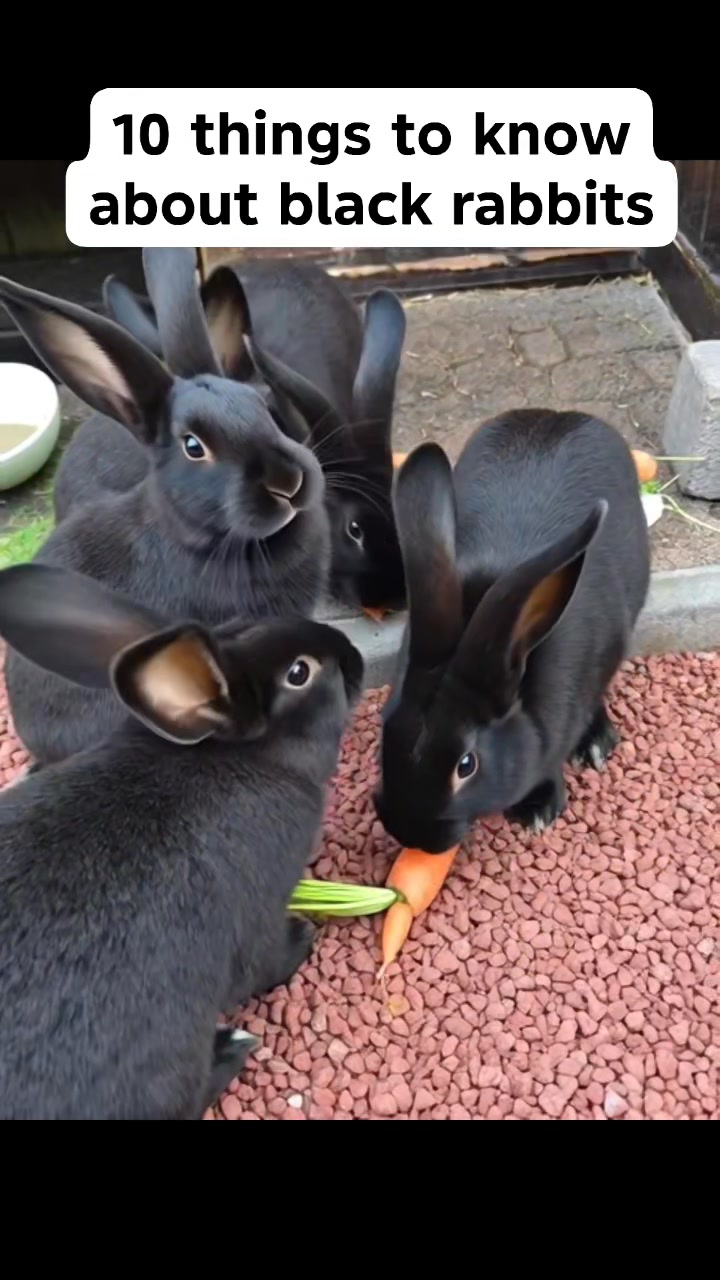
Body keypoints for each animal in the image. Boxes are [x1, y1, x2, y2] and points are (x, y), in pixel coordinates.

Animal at [0, 560, 363, 1120]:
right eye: (299, 672)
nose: (354, 653)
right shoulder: (258, 909)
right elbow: (264, 960)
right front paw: (303, 936)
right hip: (169, 1060)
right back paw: (233, 1047)